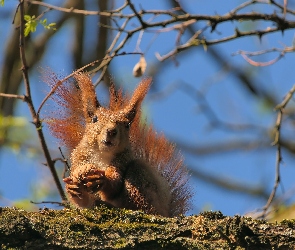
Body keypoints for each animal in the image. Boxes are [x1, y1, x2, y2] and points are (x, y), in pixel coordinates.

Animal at [43, 70, 192, 217]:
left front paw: (102, 180)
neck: (101, 154)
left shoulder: (122, 160)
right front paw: (72, 188)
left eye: (127, 125)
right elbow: (83, 201)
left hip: (140, 178)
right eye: (95, 119)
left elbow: (115, 183)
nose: (111, 131)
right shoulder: (79, 158)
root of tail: (165, 210)